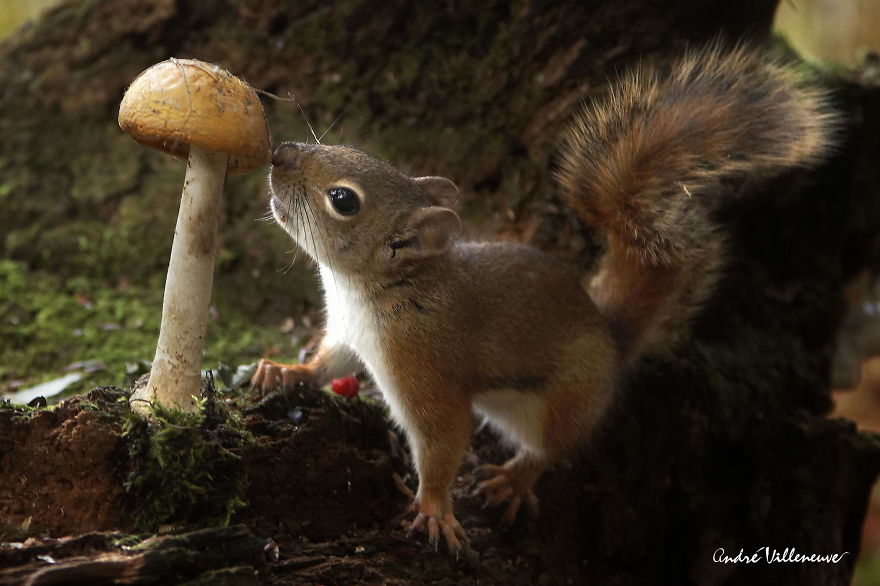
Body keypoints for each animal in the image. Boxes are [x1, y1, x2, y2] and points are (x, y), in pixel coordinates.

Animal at [251, 45, 836, 553]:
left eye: (343, 199)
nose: (279, 153)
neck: (372, 288)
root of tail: (611, 340)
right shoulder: (347, 336)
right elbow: (328, 364)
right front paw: (285, 371)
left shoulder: (424, 369)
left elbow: (443, 439)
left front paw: (436, 509)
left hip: (561, 403)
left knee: (551, 448)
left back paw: (514, 479)